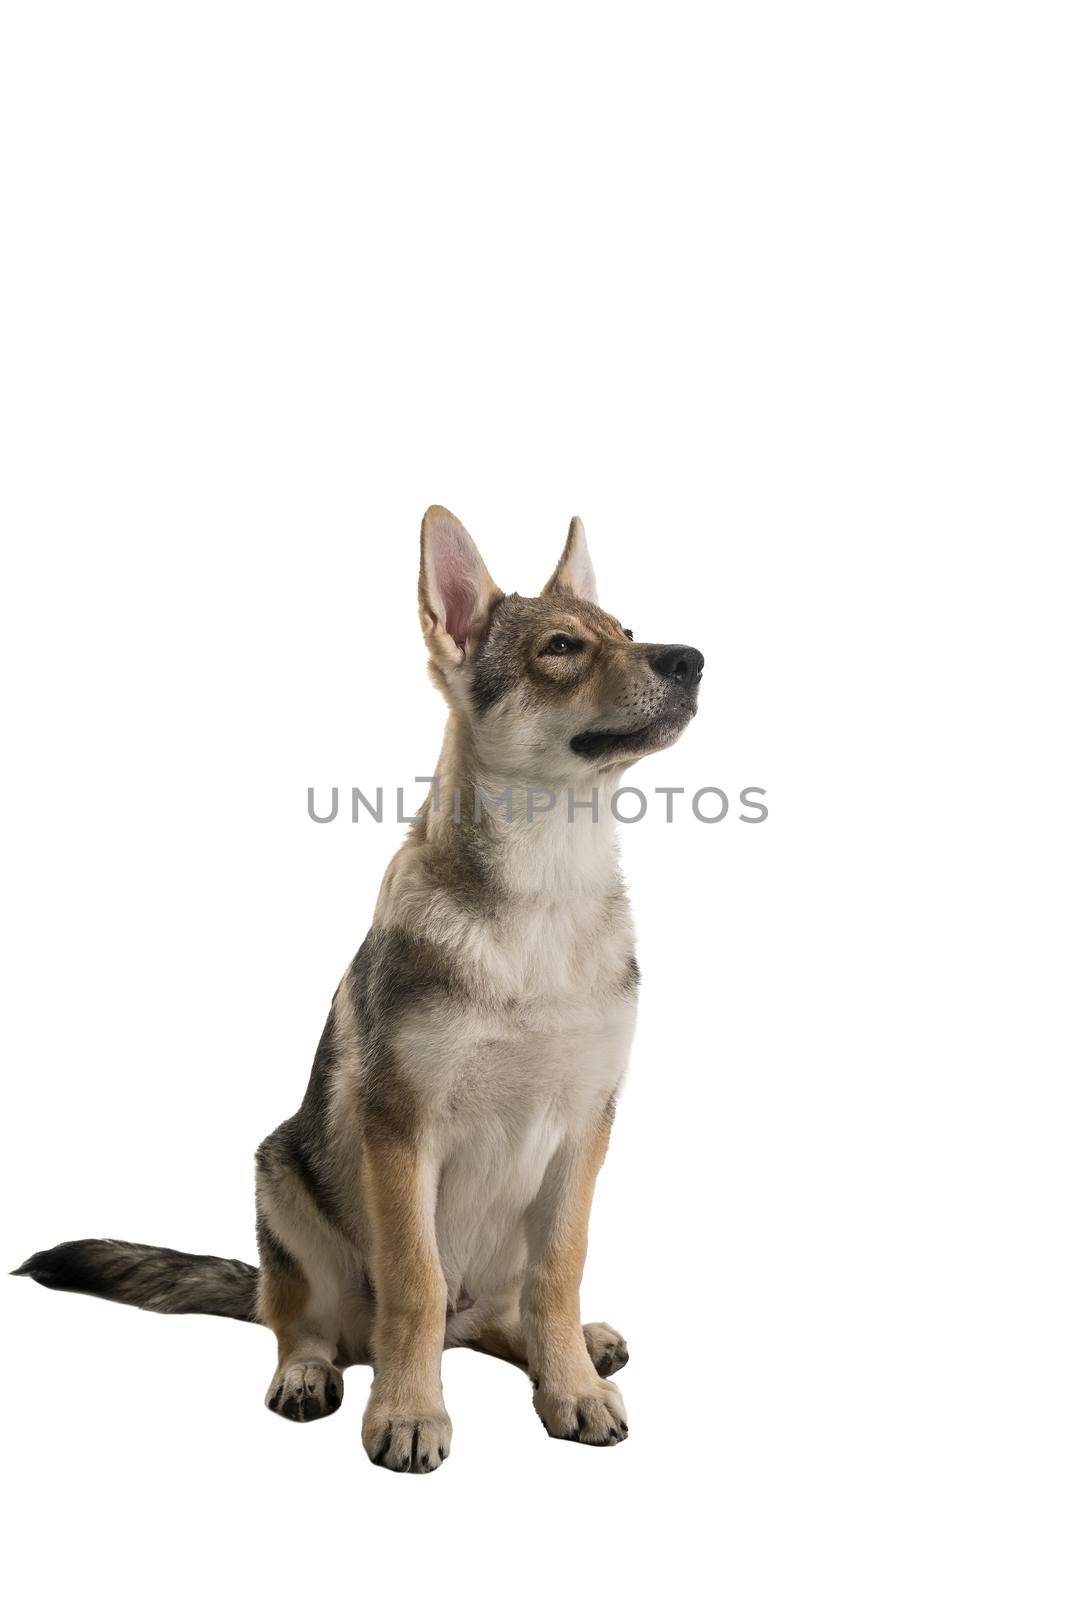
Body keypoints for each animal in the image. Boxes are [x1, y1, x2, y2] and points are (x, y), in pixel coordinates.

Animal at [16, 505, 703, 1465]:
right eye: (563, 647)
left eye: (629, 634)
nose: (692, 660)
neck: (542, 893)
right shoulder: (402, 1128)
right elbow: (411, 1285)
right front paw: (409, 1413)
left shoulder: (583, 1130)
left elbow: (558, 1275)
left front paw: (568, 1386)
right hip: (281, 1177)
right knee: (308, 1323)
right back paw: (310, 1374)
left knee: (505, 1313)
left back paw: (572, 1349)